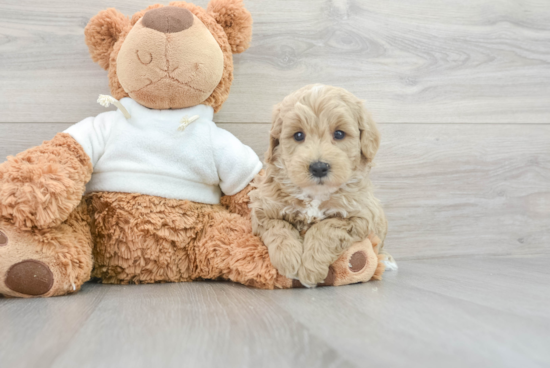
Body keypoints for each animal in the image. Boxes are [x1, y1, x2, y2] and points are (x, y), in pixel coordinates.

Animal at [250, 84, 396, 288]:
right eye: (298, 135)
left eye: (339, 134)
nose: (318, 167)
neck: (315, 194)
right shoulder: (262, 209)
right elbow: (279, 227)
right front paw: (288, 259)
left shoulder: (361, 215)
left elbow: (325, 229)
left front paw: (310, 269)